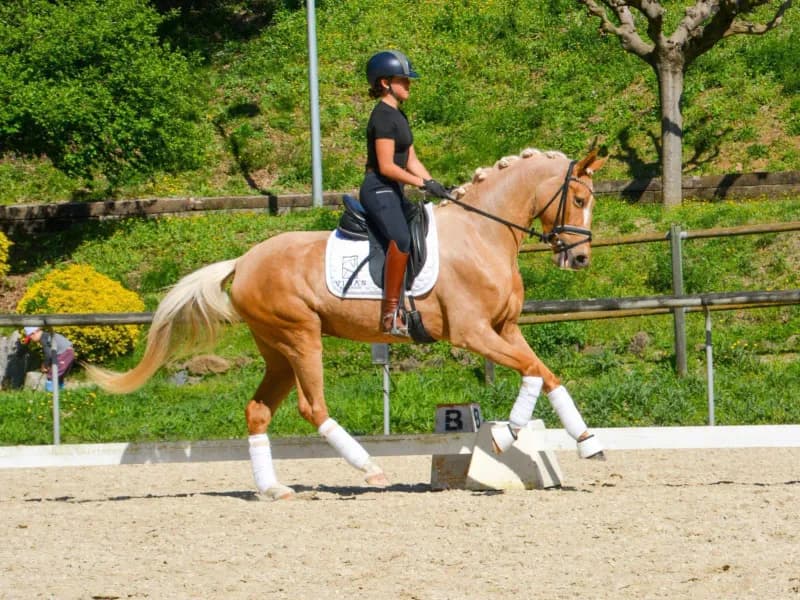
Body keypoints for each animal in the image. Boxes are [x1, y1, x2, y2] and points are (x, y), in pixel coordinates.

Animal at [86, 146, 608, 500]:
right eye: (580, 198)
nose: (580, 258)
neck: (482, 232)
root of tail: (244, 260)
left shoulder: (505, 330)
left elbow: (546, 374)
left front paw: (586, 441)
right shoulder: (473, 333)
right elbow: (532, 372)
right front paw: (504, 434)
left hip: (277, 350)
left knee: (258, 411)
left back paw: (273, 489)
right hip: (301, 337)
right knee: (312, 407)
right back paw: (370, 468)